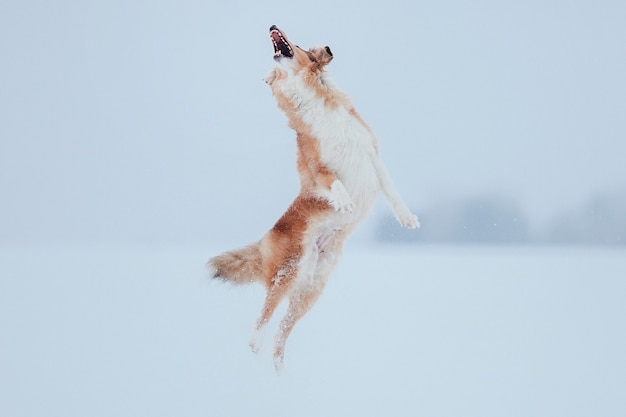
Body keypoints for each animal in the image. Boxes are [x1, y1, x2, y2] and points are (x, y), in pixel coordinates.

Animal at [207, 25, 416, 370]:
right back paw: (254, 346)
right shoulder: (318, 168)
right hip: (287, 273)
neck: (314, 102)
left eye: (300, 45)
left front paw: (407, 218)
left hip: (310, 291)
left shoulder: (371, 153)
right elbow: (334, 183)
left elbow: (392, 190)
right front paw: (344, 201)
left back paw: (278, 370)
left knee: (281, 333)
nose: (272, 26)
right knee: (264, 316)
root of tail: (265, 240)